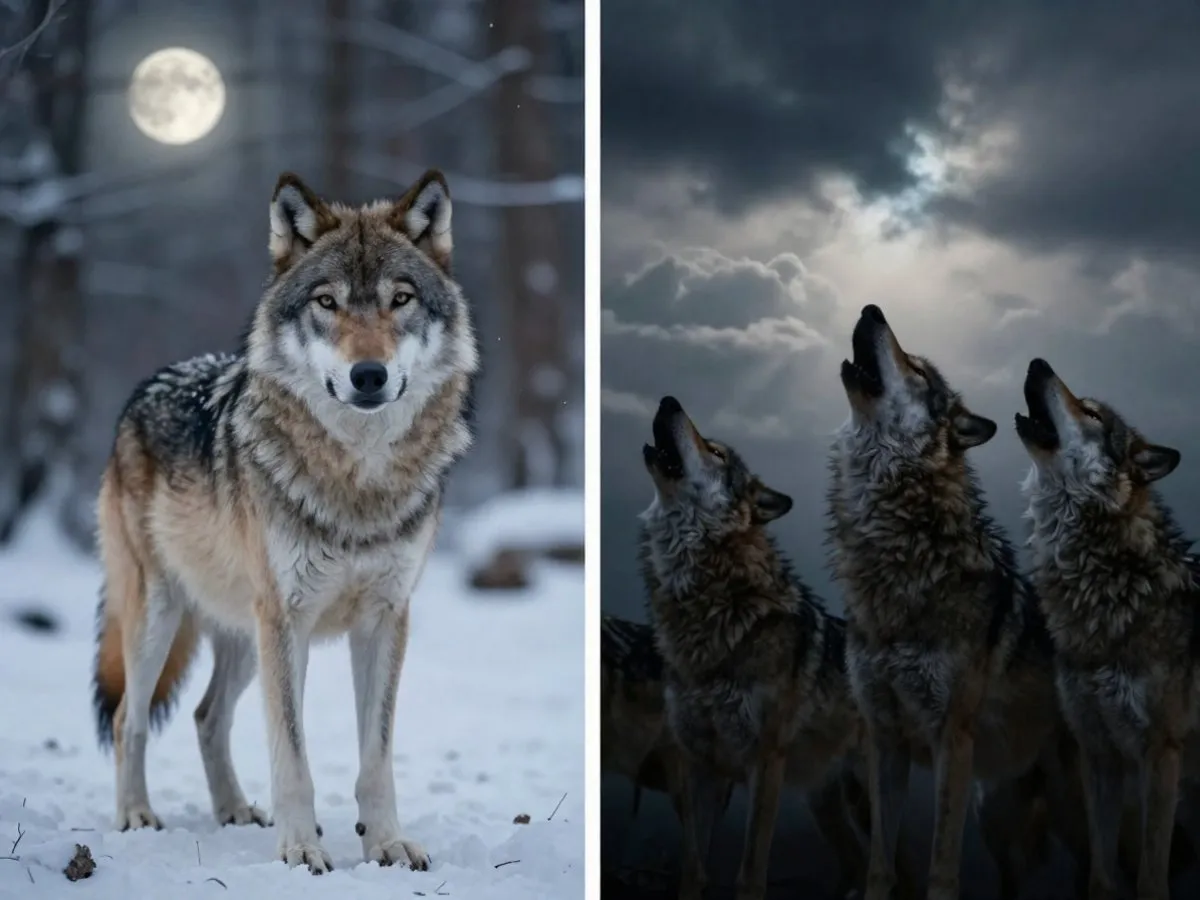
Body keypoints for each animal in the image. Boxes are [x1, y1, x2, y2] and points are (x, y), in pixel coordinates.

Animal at [90, 169, 478, 873]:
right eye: (326, 302)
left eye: (400, 299)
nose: (368, 375)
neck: (358, 481)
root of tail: (143, 389)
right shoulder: (288, 620)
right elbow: (292, 755)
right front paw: (301, 848)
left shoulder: (385, 618)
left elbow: (376, 756)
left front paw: (386, 843)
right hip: (164, 617)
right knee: (128, 716)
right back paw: (136, 816)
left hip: (245, 636)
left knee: (206, 716)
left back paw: (234, 812)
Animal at [638, 395, 897, 900]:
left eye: (717, 453)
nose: (668, 400)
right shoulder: (701, 765)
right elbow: (693, 867)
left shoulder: (764, 760)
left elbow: (750, 871)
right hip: (826, 802)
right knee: (859, 863)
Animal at [1016, 357, 1199, 900]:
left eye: (1094, 415)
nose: (1037, 362)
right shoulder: (1098, 753)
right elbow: (1101, 872)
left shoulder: (1161, 754)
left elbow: (1151, 876)